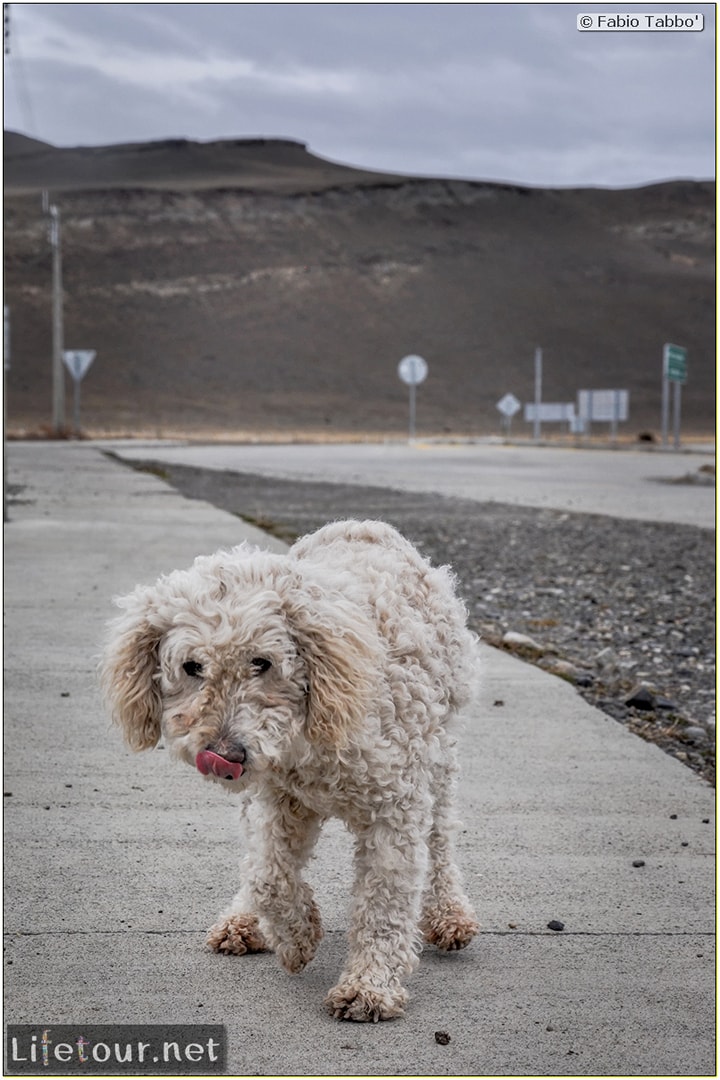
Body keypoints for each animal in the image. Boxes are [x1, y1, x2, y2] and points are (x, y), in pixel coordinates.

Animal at [101, 520, 481, 1019]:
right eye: (192, 666)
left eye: (262, 662)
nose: (224, 754)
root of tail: (364, 527)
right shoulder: (280, 799)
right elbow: (267, 876)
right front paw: (298, 937)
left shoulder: (395, 807)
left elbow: (384, 901)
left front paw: (369, 986)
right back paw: (243, 920)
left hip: (438, 755)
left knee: (440, 837)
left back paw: (449, 913)